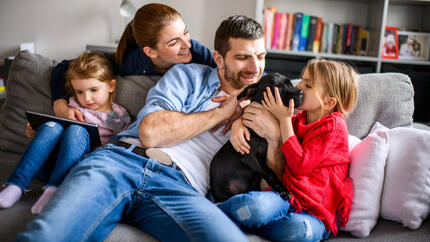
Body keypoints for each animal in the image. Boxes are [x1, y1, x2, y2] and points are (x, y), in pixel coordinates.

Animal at [208, 73, 302, 203]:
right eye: (277, 89)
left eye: (290, 83)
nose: (301, 92)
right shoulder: (250, 156)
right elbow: (270, 171)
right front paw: (283, 190)